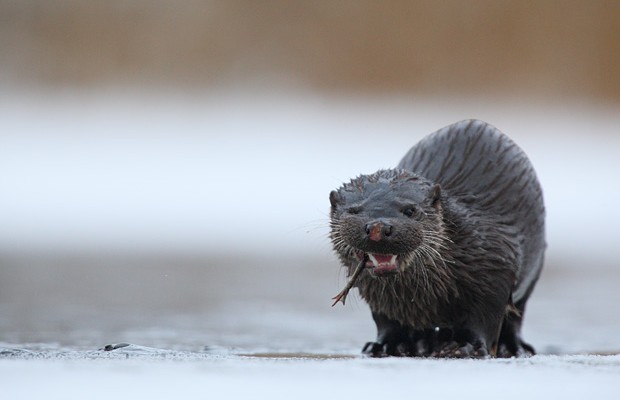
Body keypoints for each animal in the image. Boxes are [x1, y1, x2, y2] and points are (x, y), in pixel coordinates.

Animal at [330, 119, 544, 360]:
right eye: (354, 211)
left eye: (410, 210)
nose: (378, 226)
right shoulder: (376, 295)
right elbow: (386, 319)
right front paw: (387, 345)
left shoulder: (496, 264)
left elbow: (485, 318)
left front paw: (466, 346)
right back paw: (424, 343)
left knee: (516, 316)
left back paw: (513, 346)